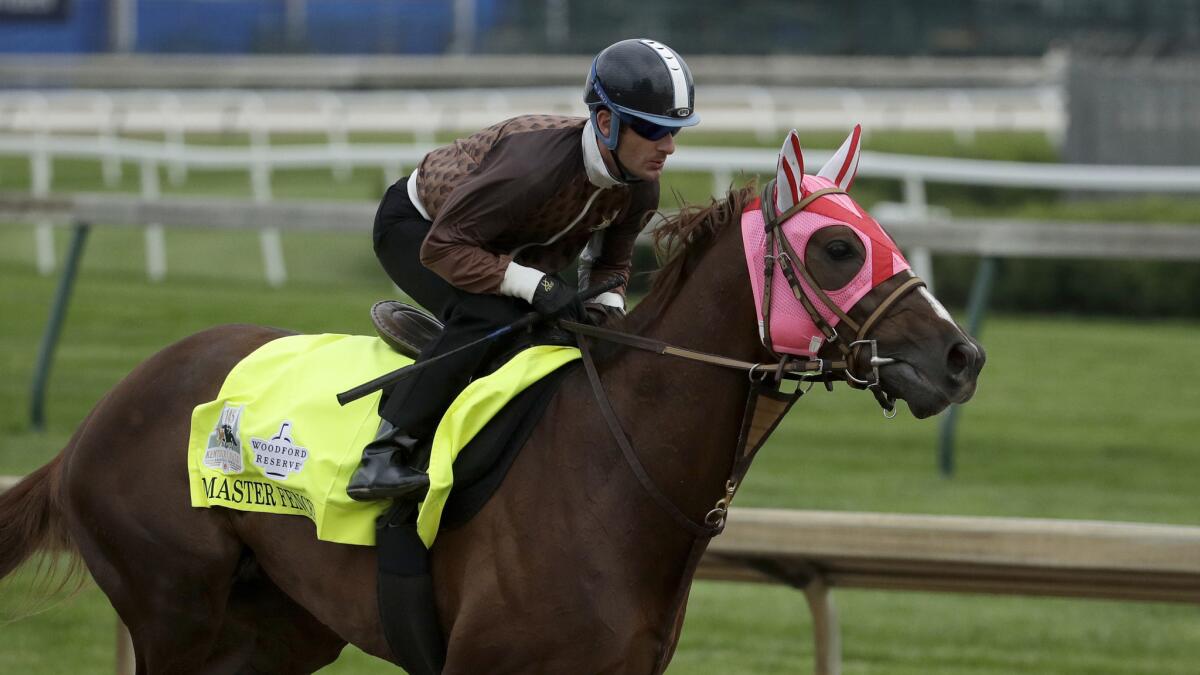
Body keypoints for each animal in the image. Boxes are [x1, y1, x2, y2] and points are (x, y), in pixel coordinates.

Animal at [2, 128, 984, 667]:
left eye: (879, 233)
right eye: (836, 249)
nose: (961, 355)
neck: (616, 470)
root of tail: (95, 421)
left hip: (277, 628)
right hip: (174, 608)